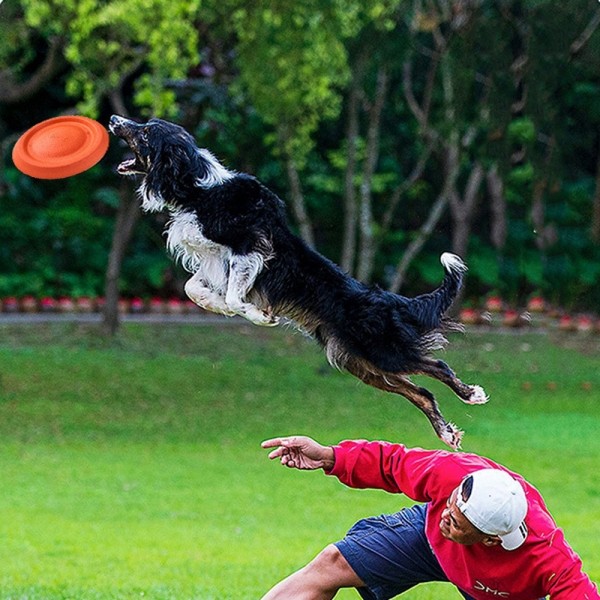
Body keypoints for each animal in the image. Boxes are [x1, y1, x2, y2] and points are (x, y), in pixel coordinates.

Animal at [109, 115, 488, 448]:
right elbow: (195, 290)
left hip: (384, 352)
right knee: (421, 393)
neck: (196, 190)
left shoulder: (251, 247)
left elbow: (233, 294)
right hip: (362, 364)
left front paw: (258, 315)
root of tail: (390, 302)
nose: (113, 119)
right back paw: (447, 434)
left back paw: (472, 394)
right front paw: (220, 306)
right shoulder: (214, 260)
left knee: (438, 366)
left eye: (146, 131)